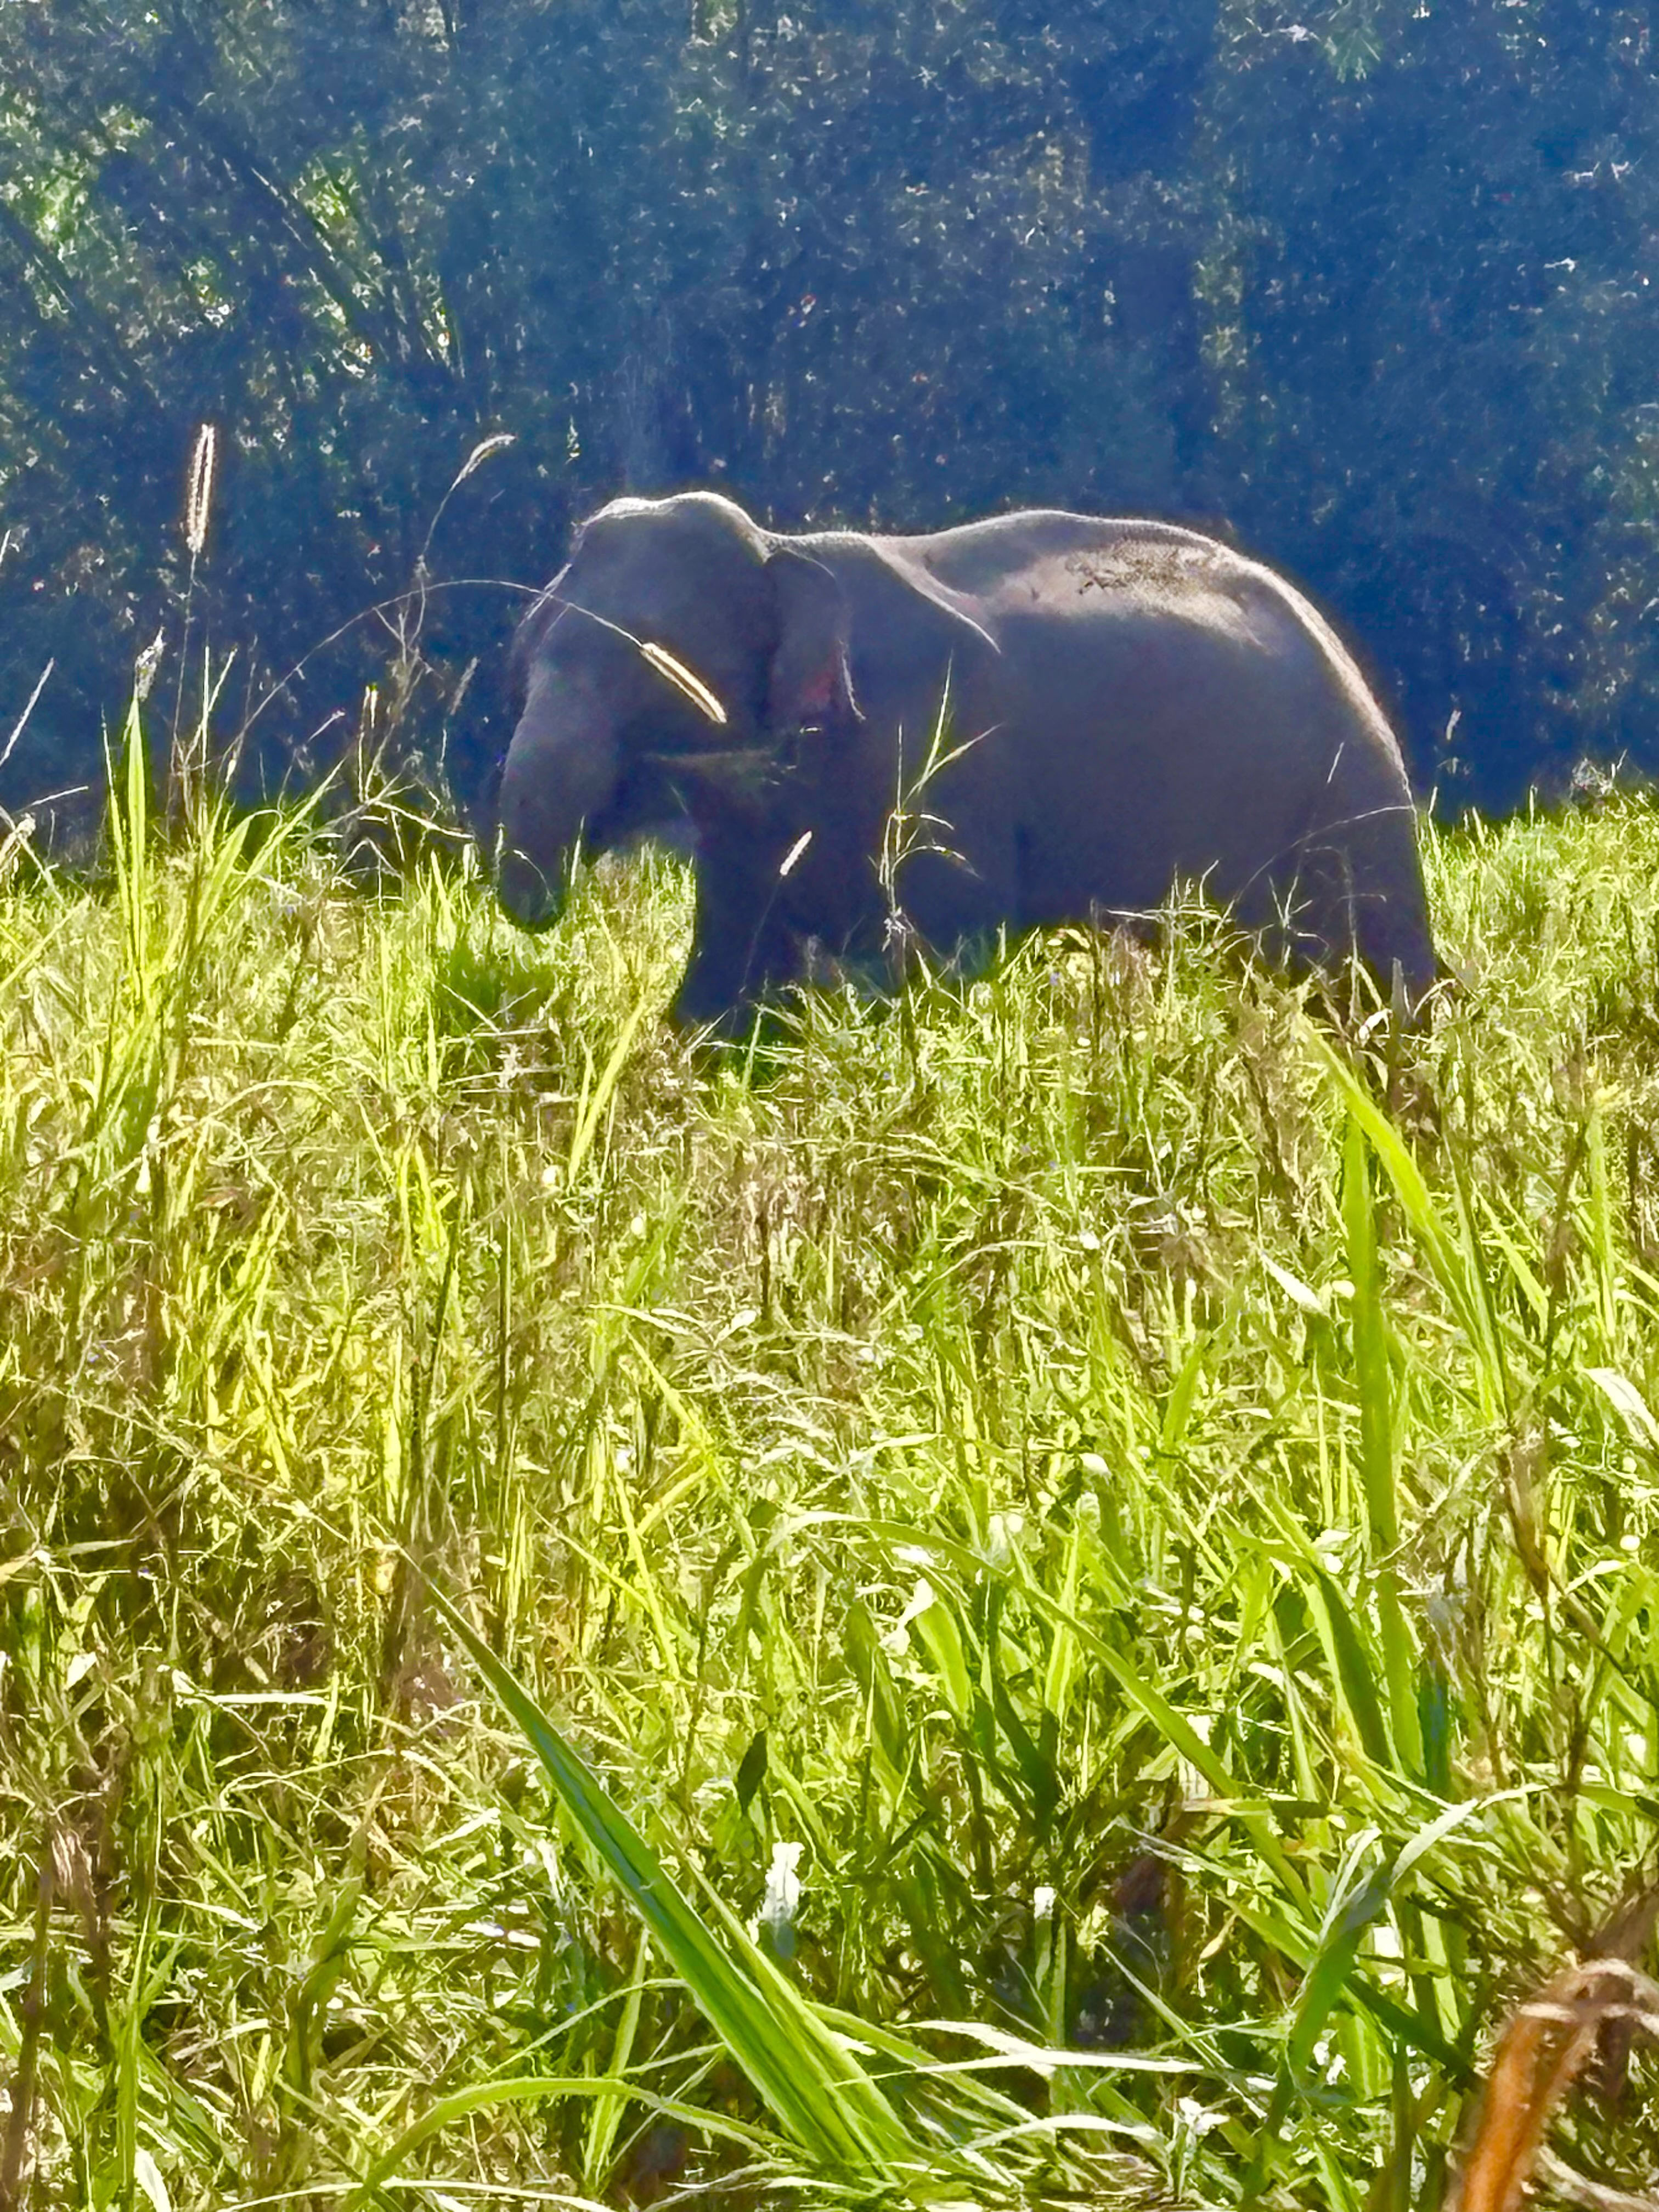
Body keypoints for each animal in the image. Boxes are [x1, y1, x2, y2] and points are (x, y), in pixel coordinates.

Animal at [493, 491, 1437, 1026]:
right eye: (523, 647)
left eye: (650, 662)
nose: (534, 907)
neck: (781, 545)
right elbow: (725, 992)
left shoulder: (941, 762)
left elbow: (935, 960)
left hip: (1350, 807)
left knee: (1379, 984)